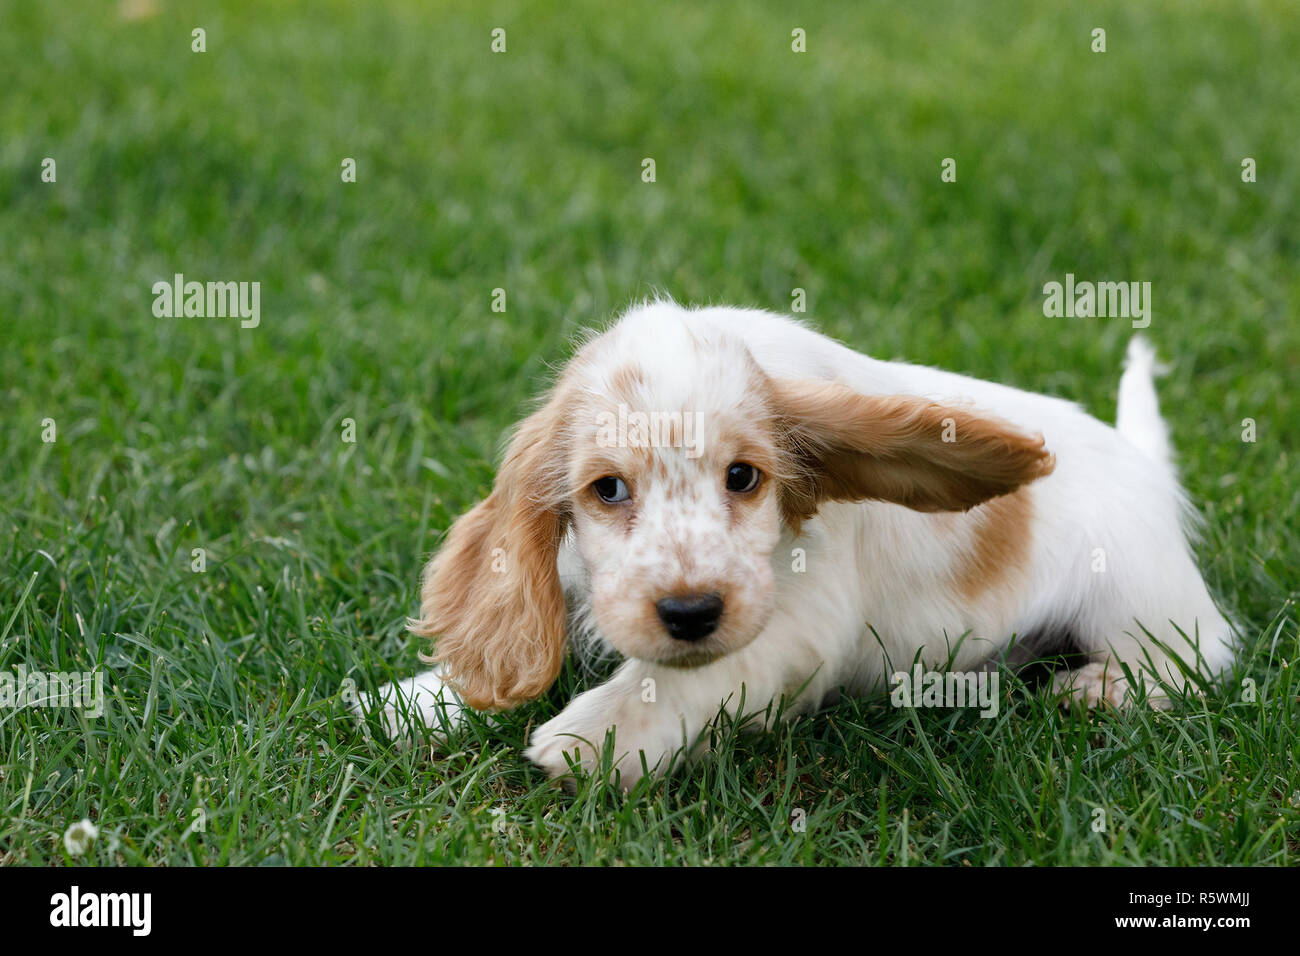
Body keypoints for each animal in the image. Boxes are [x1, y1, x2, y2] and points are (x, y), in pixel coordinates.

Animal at [356, 303, 1237, 790]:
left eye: (745, 477)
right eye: (607, 489)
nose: (689, 610)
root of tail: (1145, 466)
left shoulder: (802, 618)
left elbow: (689, 675)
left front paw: (597, 735)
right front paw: (413, 701)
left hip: (1136, 594)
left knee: (1200, 655)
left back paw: (1100, 688)